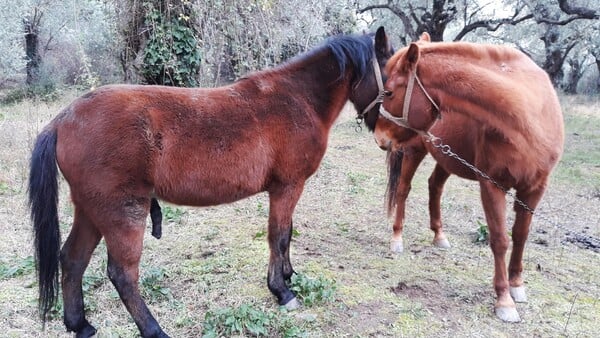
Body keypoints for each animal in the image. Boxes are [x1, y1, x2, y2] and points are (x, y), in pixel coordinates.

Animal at [28, 27, 394, 338]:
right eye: (392, 83)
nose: (389, 139)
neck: (297, 99)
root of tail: (63, 119)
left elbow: (287, 234)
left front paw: (288, 275)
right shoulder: (287, 187)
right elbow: (278, 236)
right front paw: (281, 290)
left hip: (91, 212)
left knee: (72, 260)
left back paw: (80, 325)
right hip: (123, 212)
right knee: (122, 274)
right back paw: (153, 330)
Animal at [376, 33, 564, 322]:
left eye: (389, 92)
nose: (379, 137)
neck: (529, 117)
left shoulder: (534, 189)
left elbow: (521, 235)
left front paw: (517, 285)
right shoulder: (492, 185)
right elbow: (499, 239)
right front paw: (504, 300)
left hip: (447, 157)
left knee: (434, 186)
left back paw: (439, 235)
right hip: (414, 150)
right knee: (404, 190)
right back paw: (397, 238)